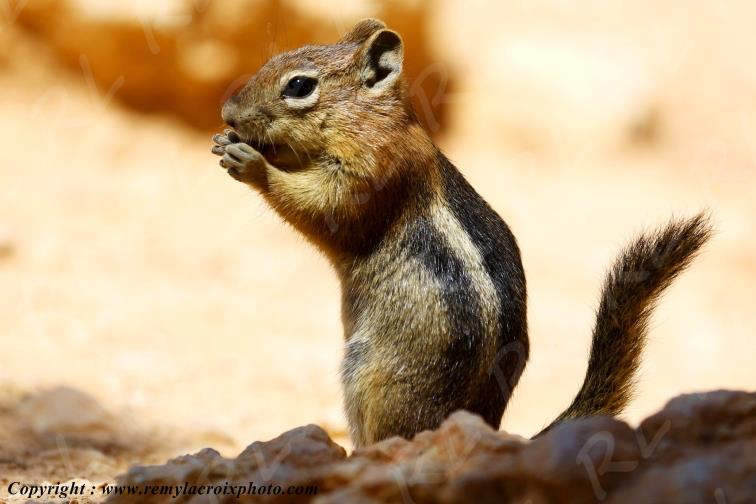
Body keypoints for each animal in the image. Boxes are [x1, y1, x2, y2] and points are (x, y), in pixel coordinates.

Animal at [211, 19, 712, 447]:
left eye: (298, 85)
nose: (227, 112)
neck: (372, 120)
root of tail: (484, 424)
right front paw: (226, 143)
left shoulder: (372, 172)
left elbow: (323, 207)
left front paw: (254, 165)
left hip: (371, 379)